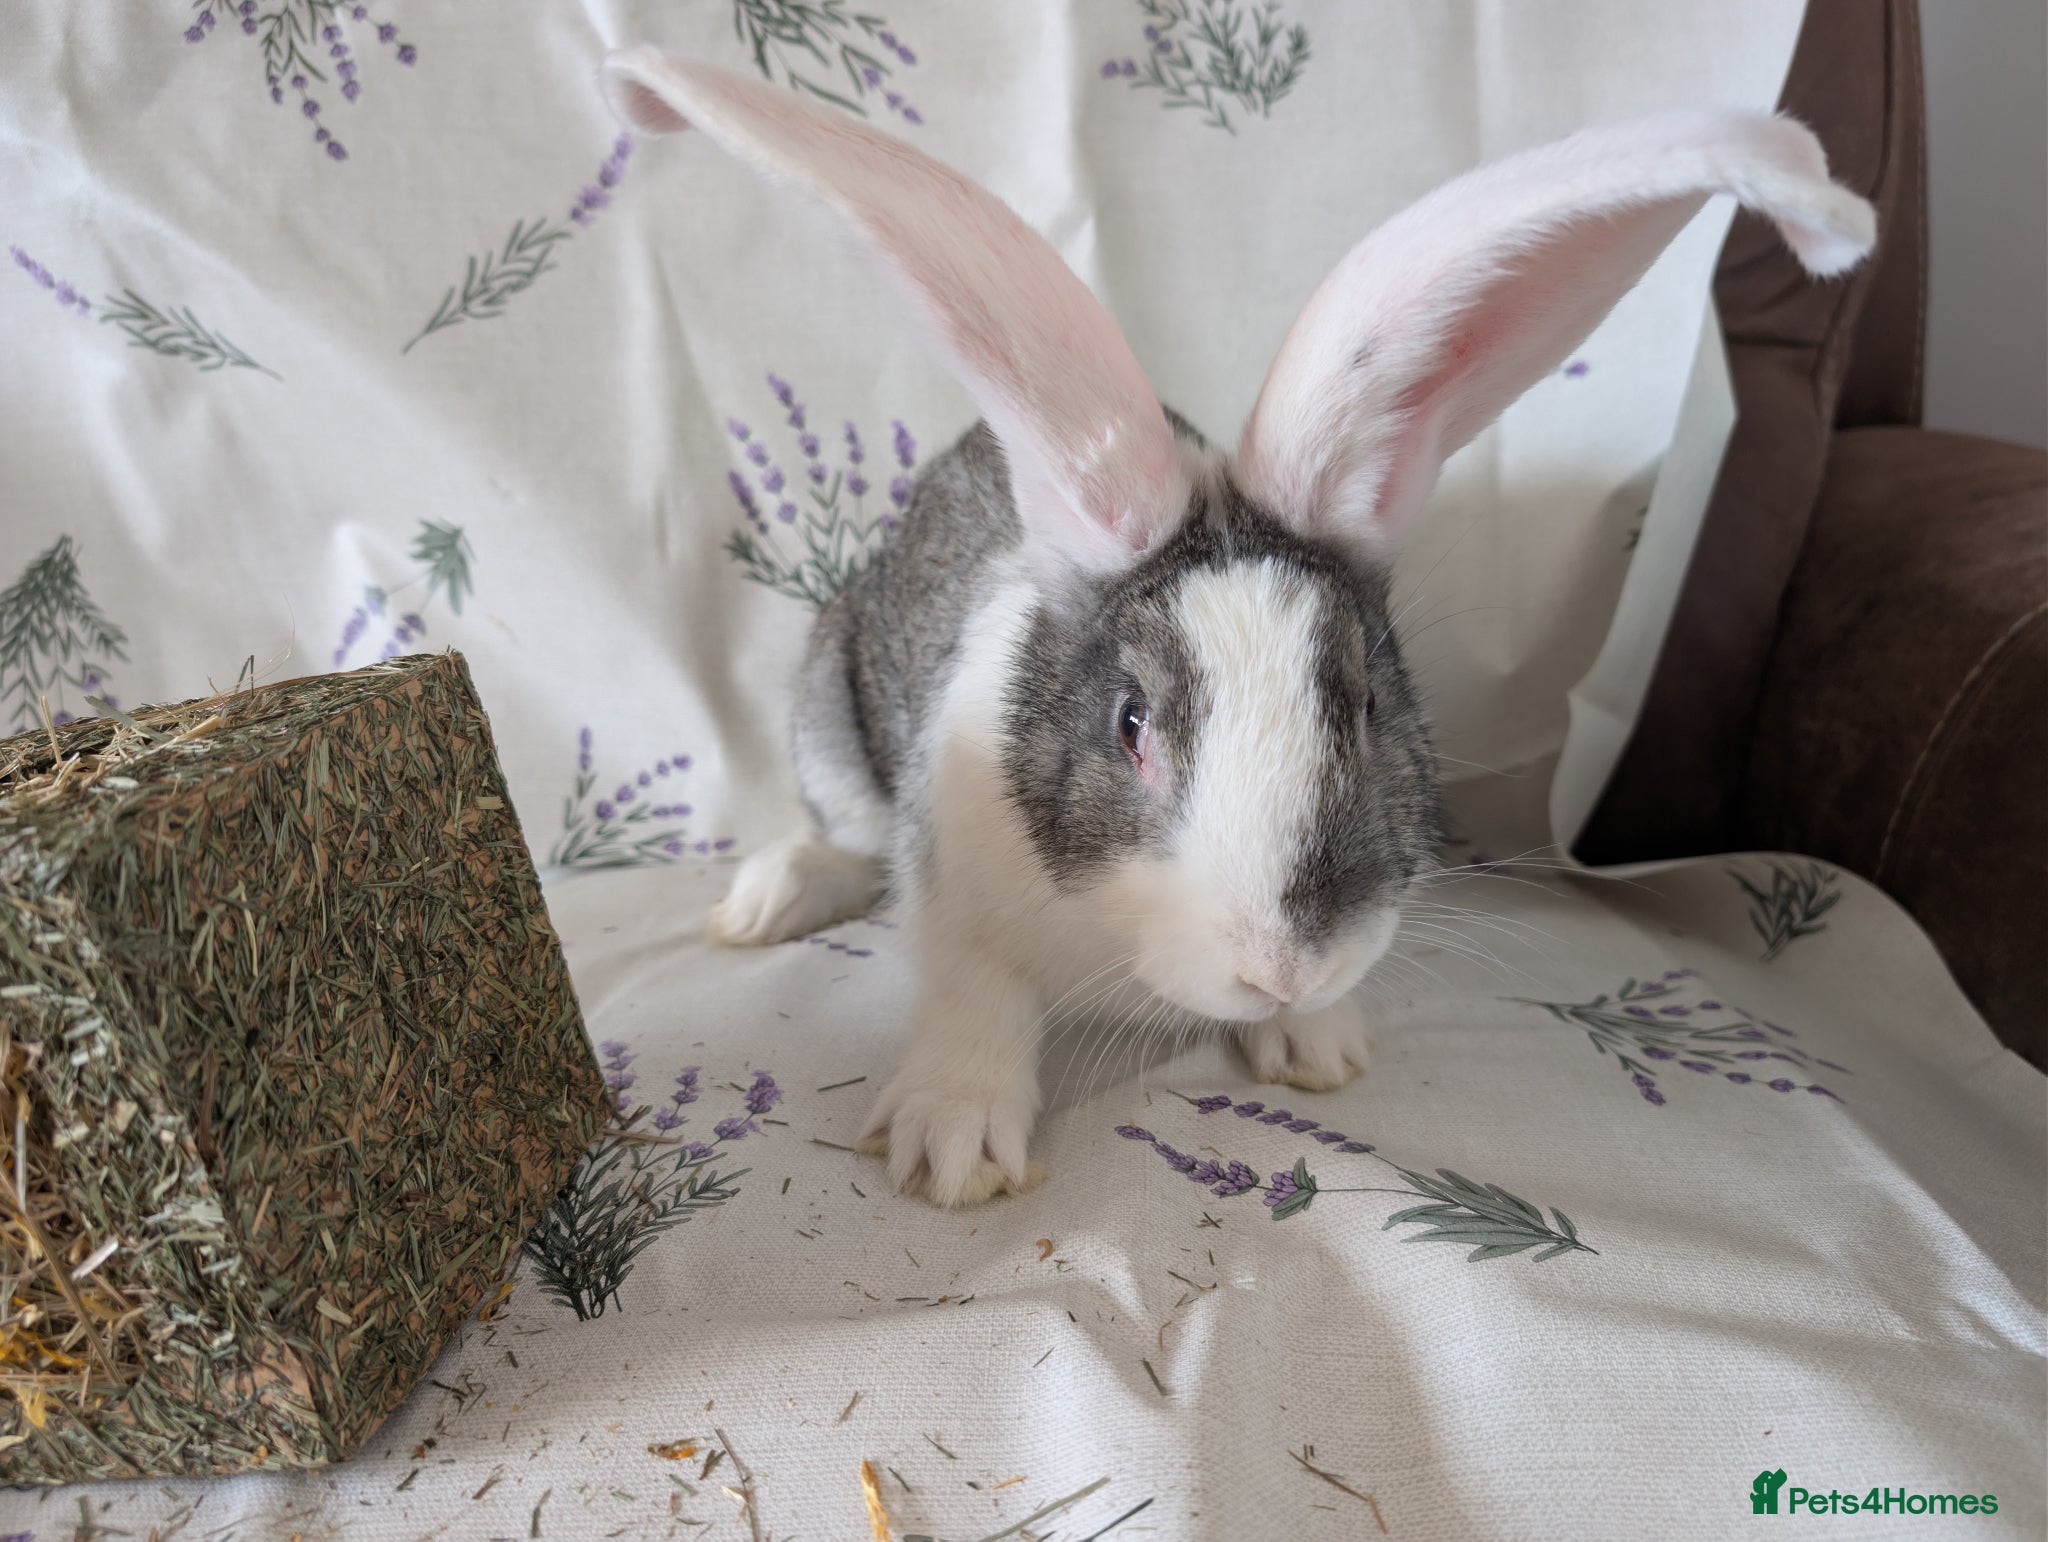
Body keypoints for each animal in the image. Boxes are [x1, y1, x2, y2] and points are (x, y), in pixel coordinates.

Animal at [601, 48, 1875, 1207]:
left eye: (1363, 707)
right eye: (1128, 724)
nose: (1282, 969)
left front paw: (1318, 1046)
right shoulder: (955, 895)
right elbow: (974, 997)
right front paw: (951, 1148)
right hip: (830, 705)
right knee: (844, 839)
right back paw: (767, 899)